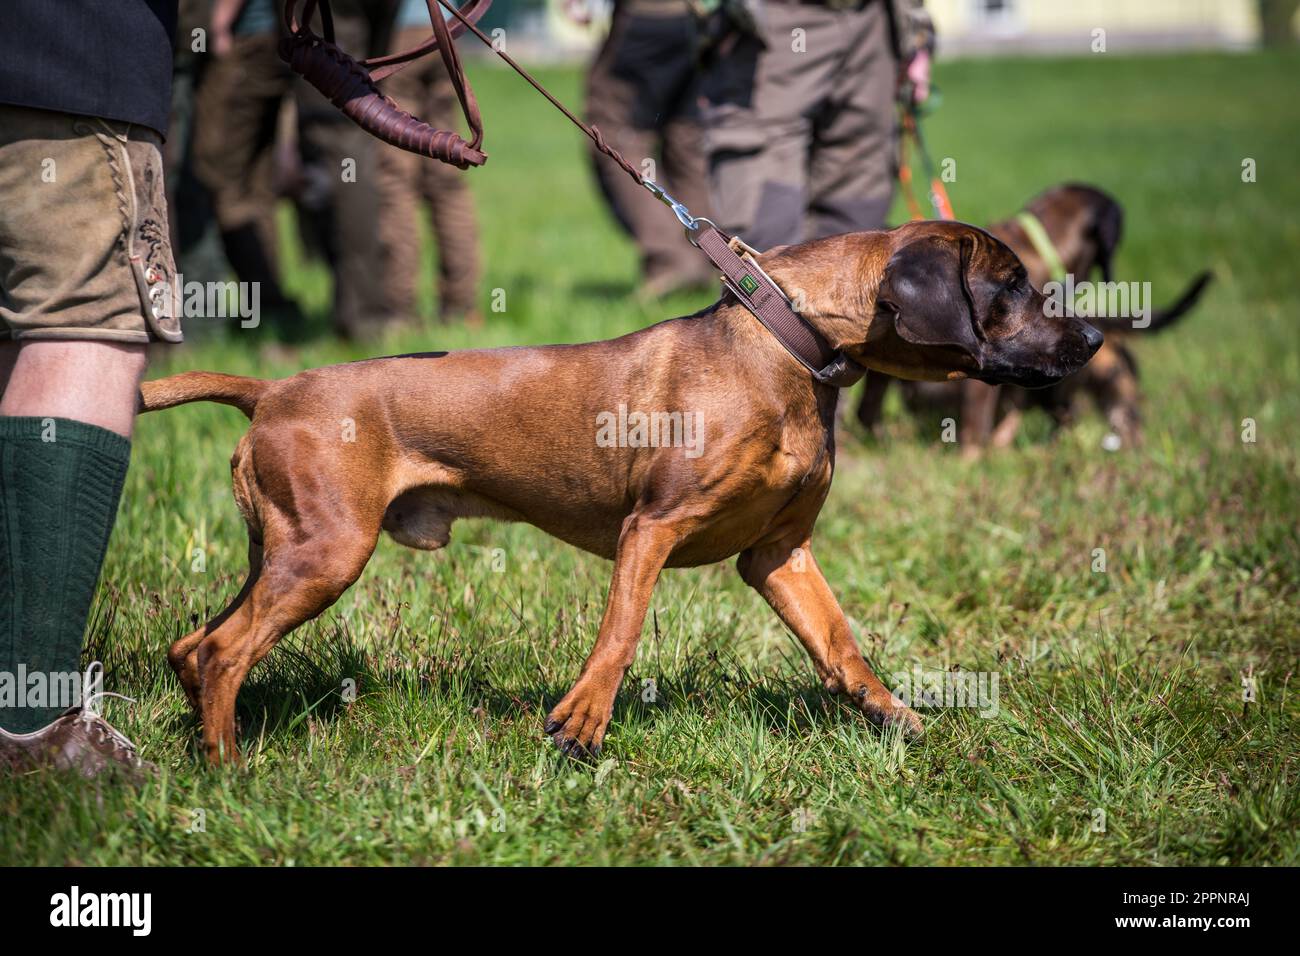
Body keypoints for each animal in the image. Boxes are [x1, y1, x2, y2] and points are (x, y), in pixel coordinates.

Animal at [139, 222, 1097, 764]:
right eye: (1010, 284)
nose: (1092, 337)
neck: (784, 347)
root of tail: (272, 389)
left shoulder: (778, 555)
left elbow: (840, 645)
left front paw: (891, 713)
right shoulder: (652, 531)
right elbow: (621, 633)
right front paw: (584, 722)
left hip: (286, 551)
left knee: (195, 646)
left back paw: (205, 747)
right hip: (328, 554)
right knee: (223, 652)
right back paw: (228, 771)